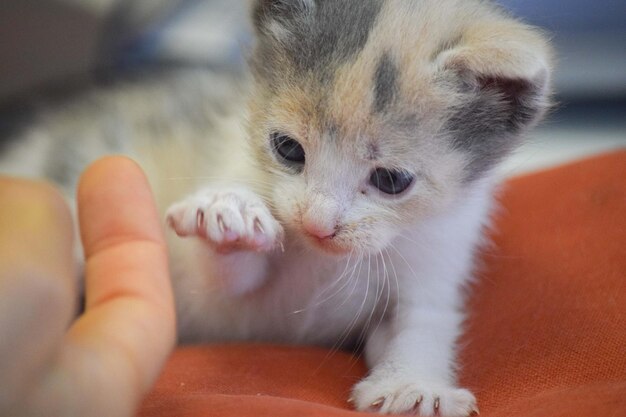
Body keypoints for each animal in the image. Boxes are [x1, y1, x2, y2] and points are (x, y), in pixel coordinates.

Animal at [0, 0, 544, 416]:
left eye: (391, 180)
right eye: (287, 149)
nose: (317, 224)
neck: (324, 262)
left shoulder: (439, 253)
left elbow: (421, 324)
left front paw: (414, 387)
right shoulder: (220, 291)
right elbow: (222, 278)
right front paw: (230, 213)